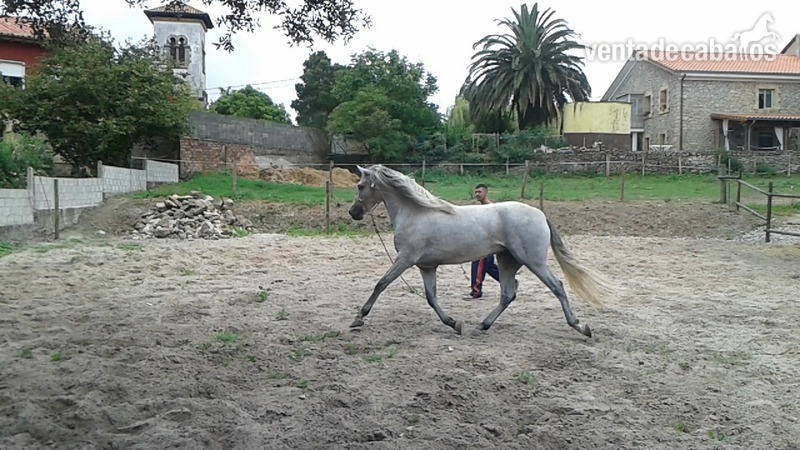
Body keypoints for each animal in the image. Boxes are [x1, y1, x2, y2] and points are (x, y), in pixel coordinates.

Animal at [347, 164, 618, 338]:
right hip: (507, 261)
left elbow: (381, 284)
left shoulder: (405, 259)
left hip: (533, 261)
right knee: (508, 294)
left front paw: (358, 318)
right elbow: (431, 298)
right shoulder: (427, 266)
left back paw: (581, 327)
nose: (353, 212)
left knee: (557, 287)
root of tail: (540, 214)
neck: (415, 213)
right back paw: (482, 326)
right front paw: (455, 324)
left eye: (360, 185)